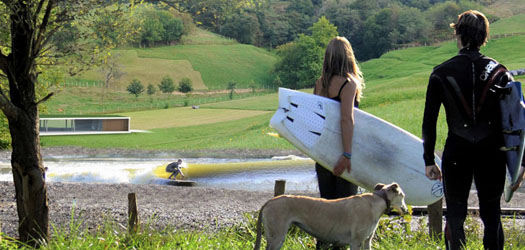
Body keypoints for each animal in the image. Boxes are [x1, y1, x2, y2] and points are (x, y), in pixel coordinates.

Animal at [252, 182, 408, 250]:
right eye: (403, 196)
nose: (406, 210)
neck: (376, 201)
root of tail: (269, 202)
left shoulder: (366, 241)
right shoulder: (356, 241)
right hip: (276, 237)